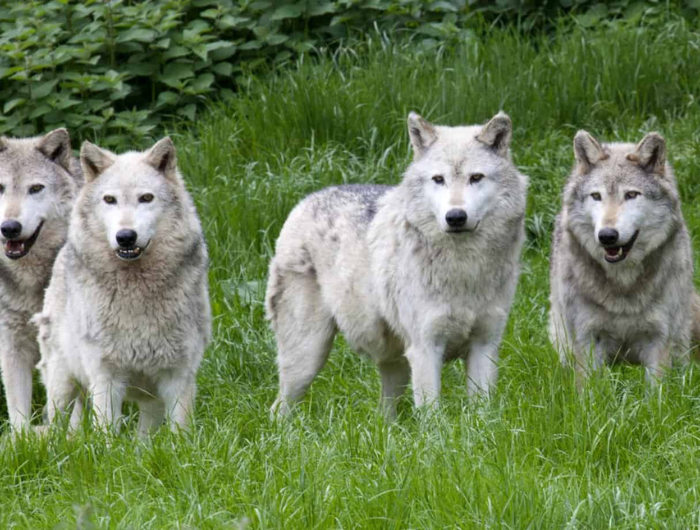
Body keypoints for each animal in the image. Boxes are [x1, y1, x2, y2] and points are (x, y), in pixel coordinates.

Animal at [0, 130, 83, 432]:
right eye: (0, 188)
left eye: (35, 188)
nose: (9, 227)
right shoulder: (11, 345)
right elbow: (17, 409)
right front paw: (23, 439)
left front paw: (75, 437)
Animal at [34, 136, 211, 434]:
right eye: (110, 200)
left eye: (146, 198)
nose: (126, 236)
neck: (135, 290)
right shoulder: (105, 376)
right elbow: (107, 433)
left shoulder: (179, 376)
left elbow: (181, 434)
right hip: (63, 384)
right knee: (56, 428)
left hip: (150, 402)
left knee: (143, 438)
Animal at [266, 112, 528, 416]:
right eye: (438, 179)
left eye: (476, 178)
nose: (455, 217)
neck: (465, 268)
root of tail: (305, 200)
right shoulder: (425, 349)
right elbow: (432, 417)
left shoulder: (485, 346)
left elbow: (482, 414)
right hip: (308, 357)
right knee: (278, 410)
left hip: (396, 366)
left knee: (384, 415)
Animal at [548, 129, 696, 382]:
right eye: (596, 196)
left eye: (631, 194)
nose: (607, 235)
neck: (623, 284)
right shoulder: (587, 337)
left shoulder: (659, 339)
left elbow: (657, 391)